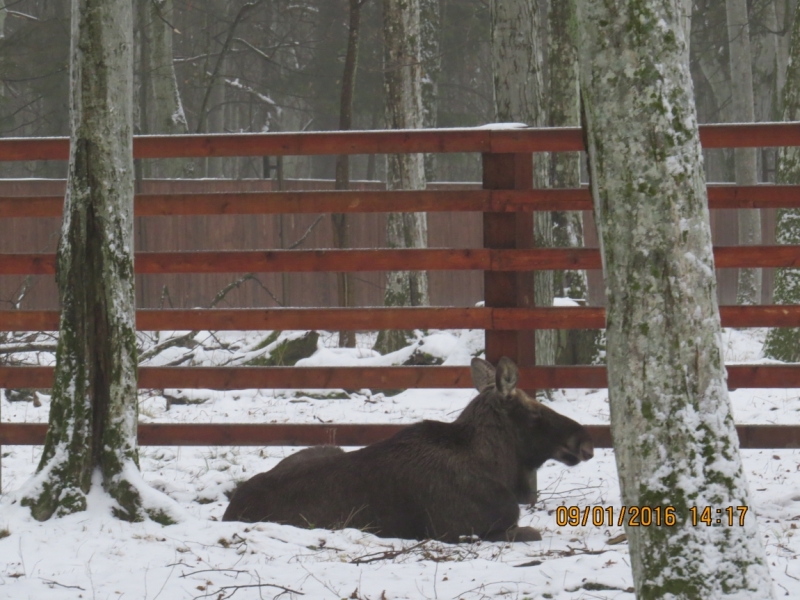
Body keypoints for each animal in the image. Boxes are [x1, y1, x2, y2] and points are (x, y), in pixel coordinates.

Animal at [222, 356, 592, 544]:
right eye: (534, 413)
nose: (584, 439)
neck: (497, 468)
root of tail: (230, 509)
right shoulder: (460, 530)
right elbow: (530, 532)